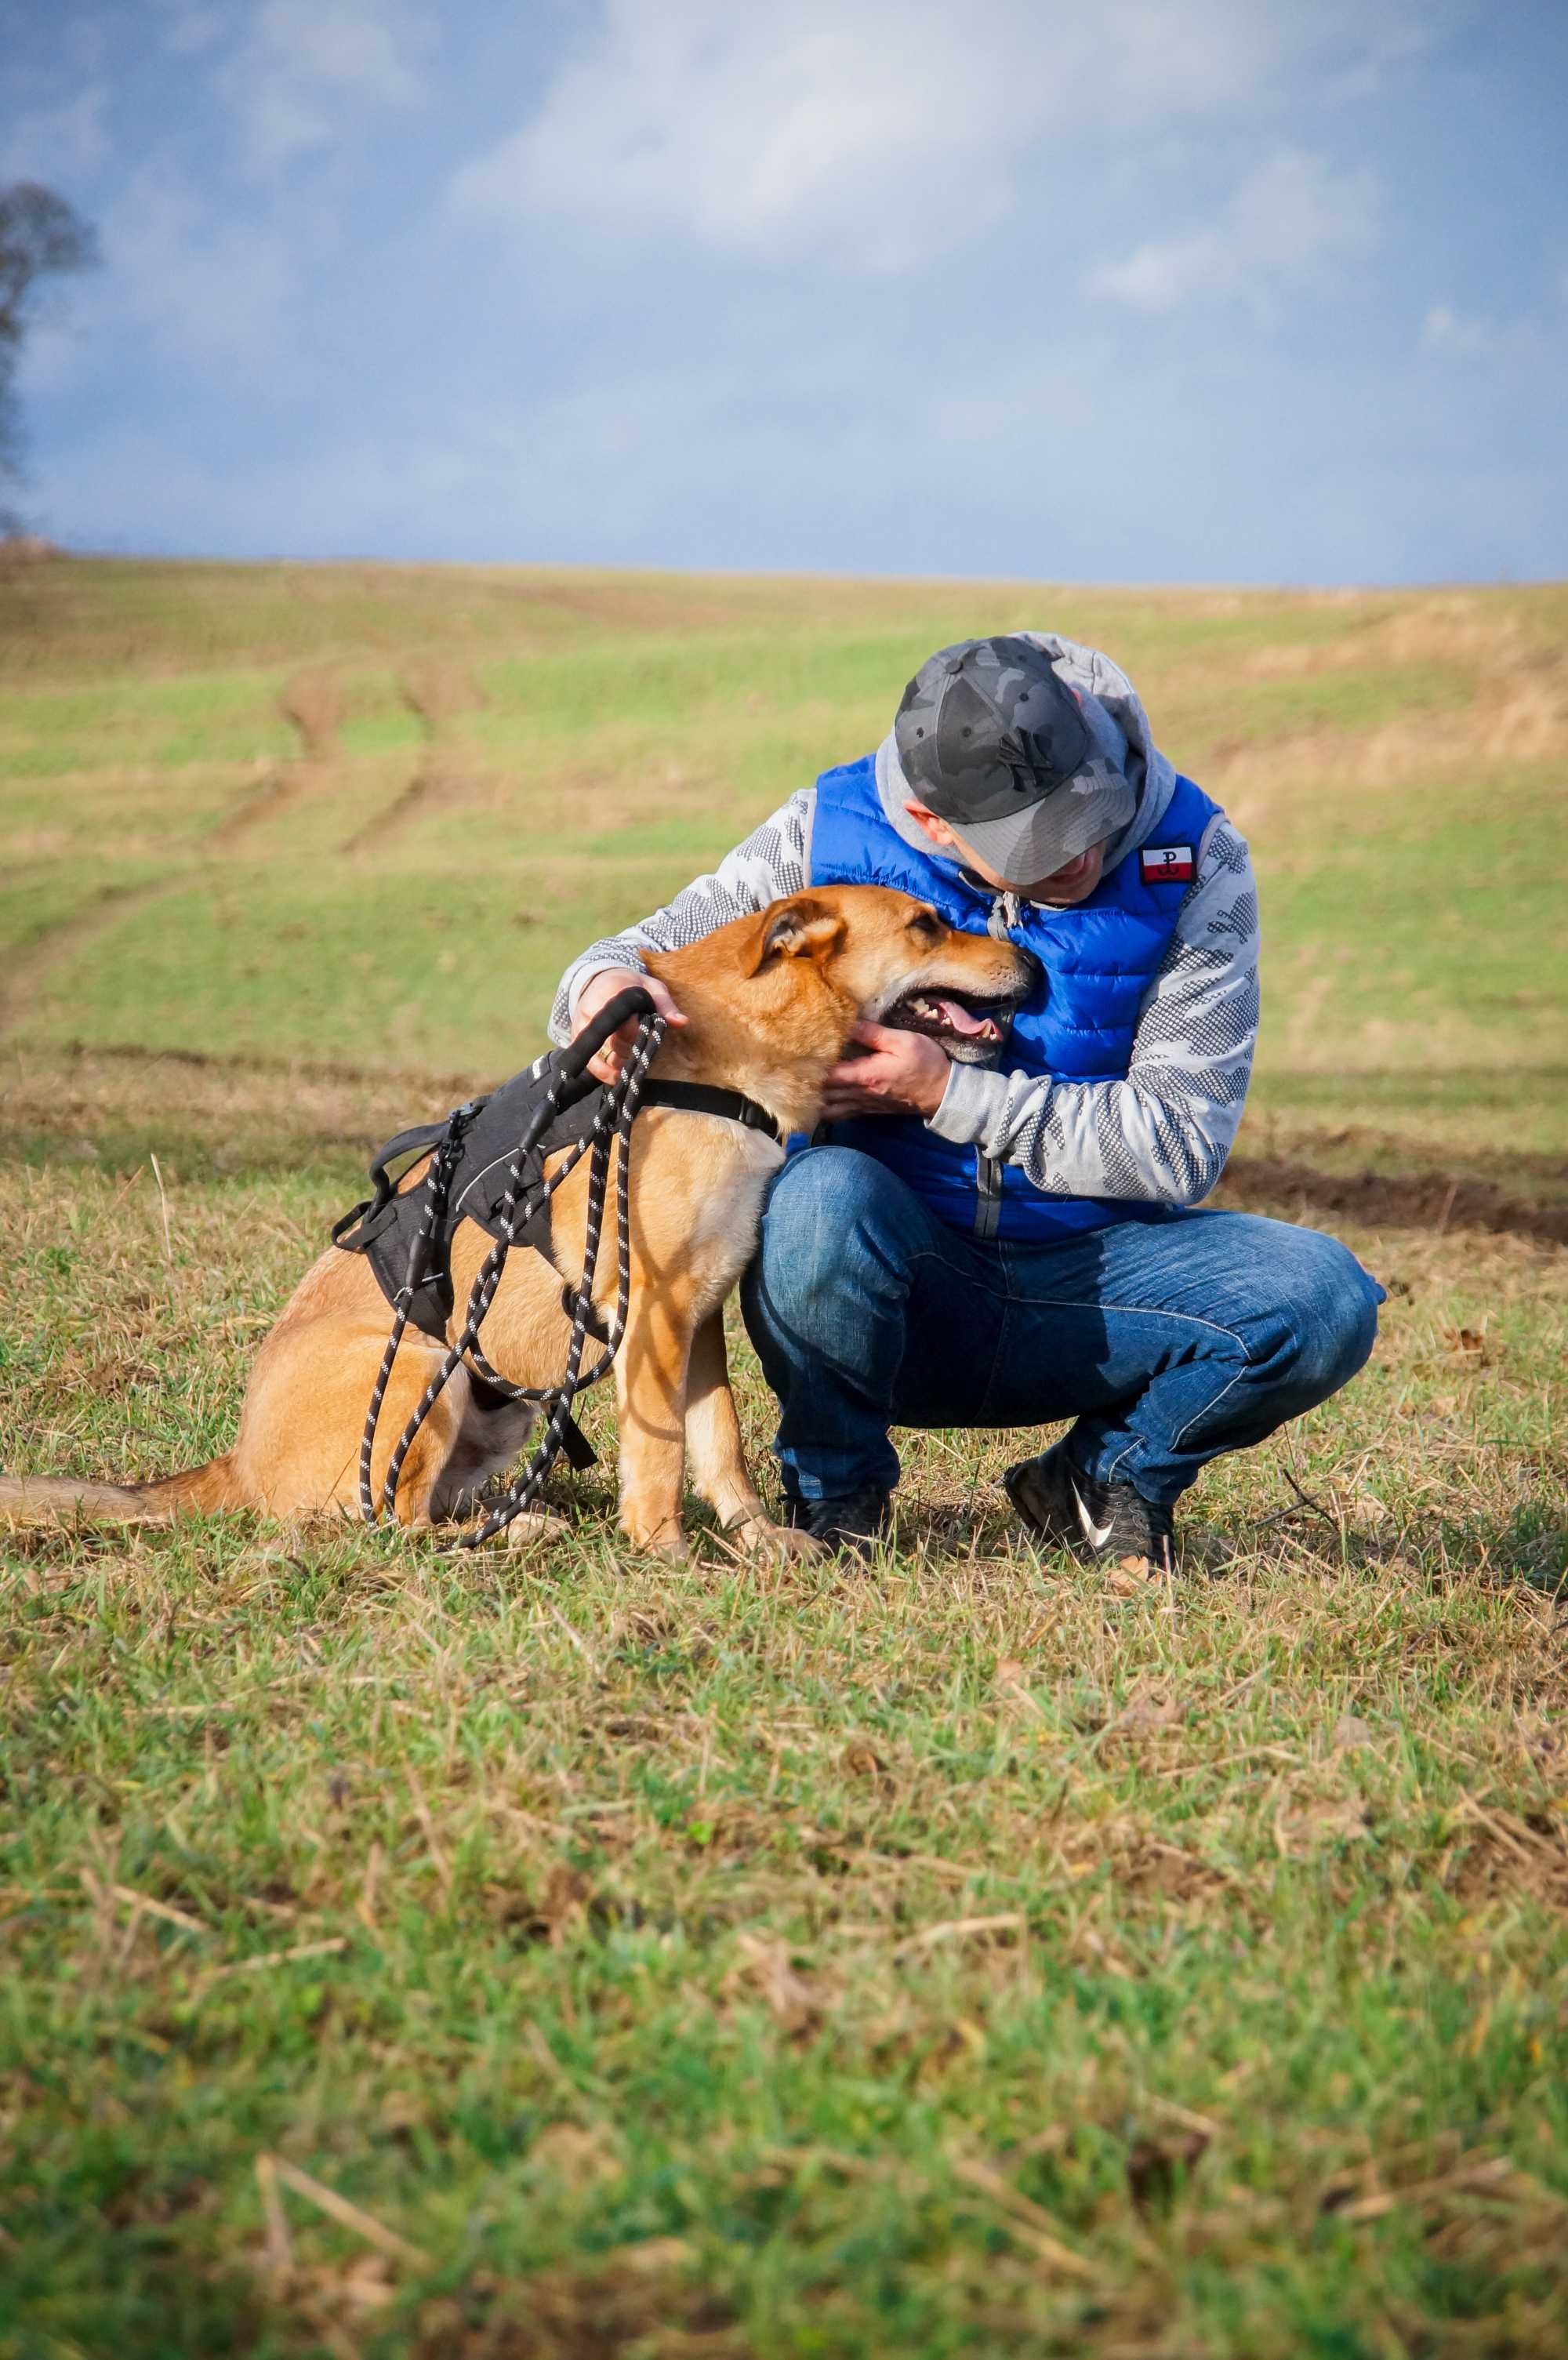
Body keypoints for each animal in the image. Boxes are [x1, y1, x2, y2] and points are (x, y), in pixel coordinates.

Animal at [2, 891, 1039, 1557]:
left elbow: (719, 1441)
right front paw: (664, 1552)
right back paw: (523, 1531)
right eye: (927, 923)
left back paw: (519, 1517)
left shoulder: (699, 1316)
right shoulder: (653, 1314)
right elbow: (660, 1452)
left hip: (496, 1405)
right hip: (424, 1367)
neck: (727, 1060)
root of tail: (238, 1467)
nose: (1031, 960)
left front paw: (755, 1540)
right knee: (384, 1527)